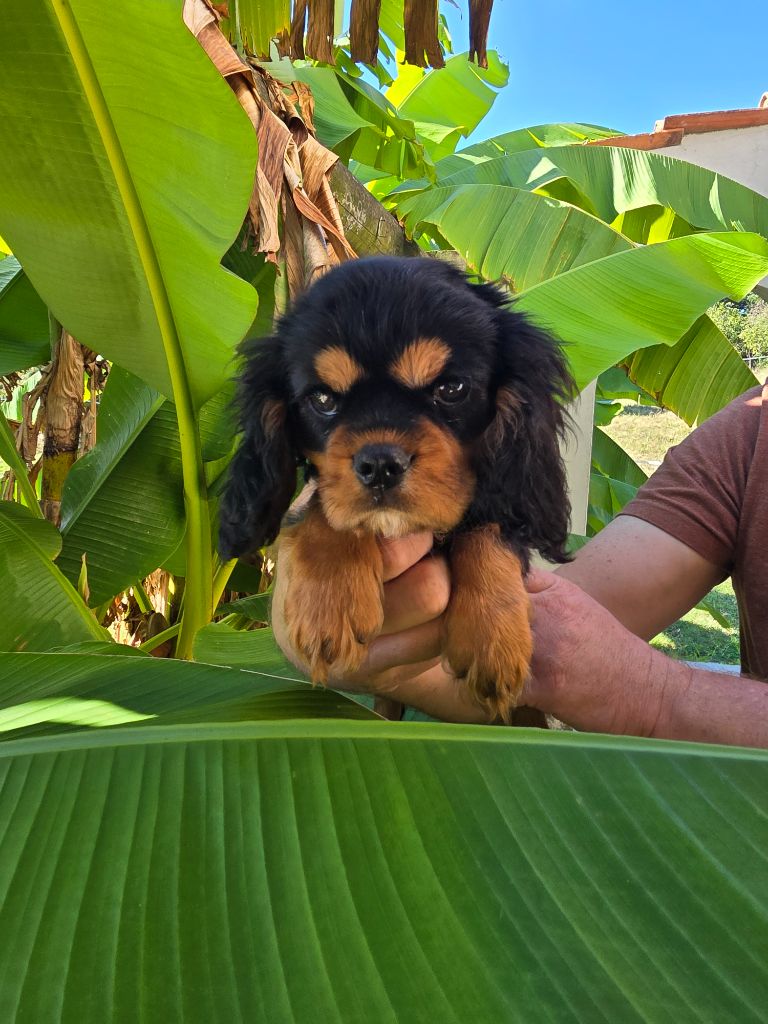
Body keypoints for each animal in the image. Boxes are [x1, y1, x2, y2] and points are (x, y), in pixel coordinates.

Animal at [219, 256, 573, 720]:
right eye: (322, 399)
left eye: (451, 389)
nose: (380, 465)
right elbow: (324, 508)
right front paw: (329, 603)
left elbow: (489, 528)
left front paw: (493, 637)